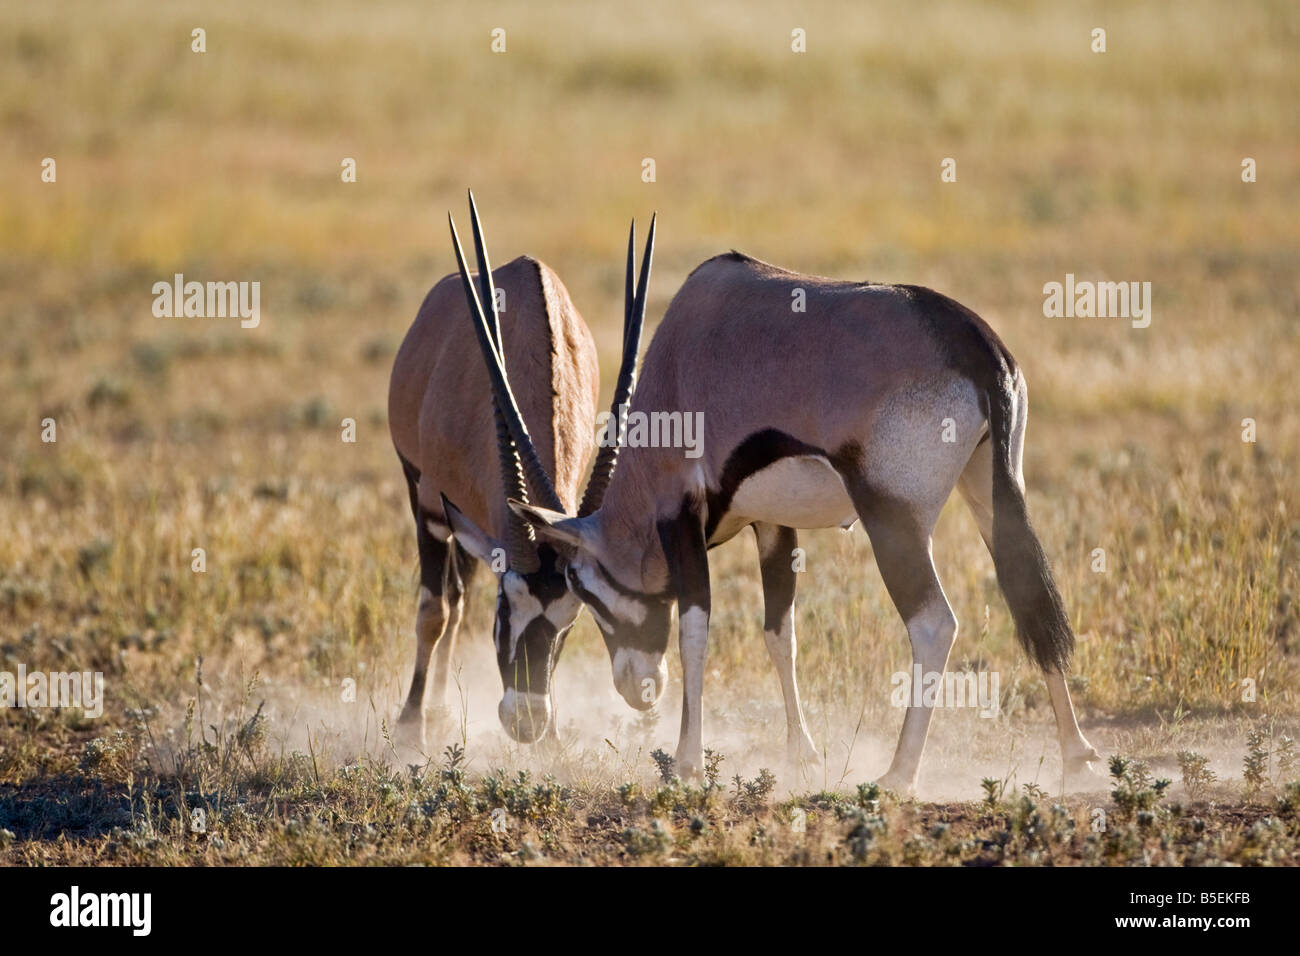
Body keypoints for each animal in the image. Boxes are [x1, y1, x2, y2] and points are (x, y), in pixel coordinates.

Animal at [384, 195, 608, 749]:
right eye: (506, 606)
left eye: (570, 623)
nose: (528, 722)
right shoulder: (430, 508)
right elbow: (433, 611)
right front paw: (409, 728)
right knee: (450, 602)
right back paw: (428, 712)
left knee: (460, 593)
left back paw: (441, 709)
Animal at [501, 248, 1102, 790]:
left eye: (580, 589)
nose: (635, 688)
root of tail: (975, 344)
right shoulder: (772, 525)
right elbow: (780, 633)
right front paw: (802, 754)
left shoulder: (680, 515)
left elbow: (695, 630)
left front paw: (688, 762)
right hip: (994, 494)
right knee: (1032, 601)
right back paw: (1077, 758)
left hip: (894, 519)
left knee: (934, 623)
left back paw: (899, 775)